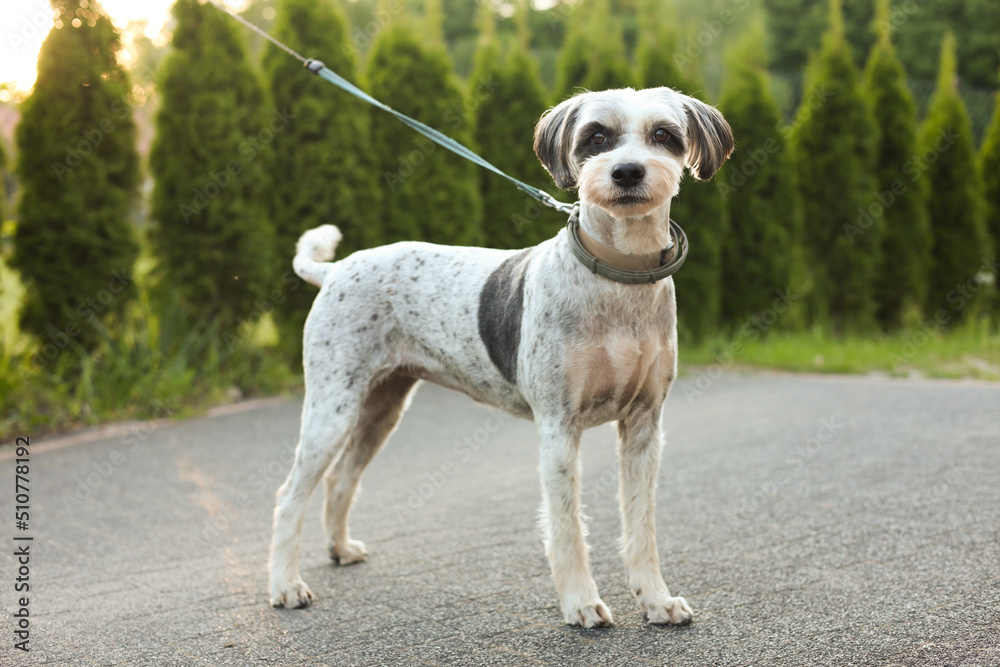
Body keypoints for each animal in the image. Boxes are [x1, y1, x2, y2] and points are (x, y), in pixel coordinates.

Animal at [270, 87, 732, 628]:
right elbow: (566, 526)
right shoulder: (558, 428)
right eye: (596, 136)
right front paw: (580, 603)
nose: (627, 172)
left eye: (663, 134)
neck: (617, 278)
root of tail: (336, 269)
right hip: (331, 409)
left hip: (382, 407)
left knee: (342, 478)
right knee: (290, 495)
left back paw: (340, 548)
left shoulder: (644, 426)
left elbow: (641, 526)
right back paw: (285, 585)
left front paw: (656, 599)